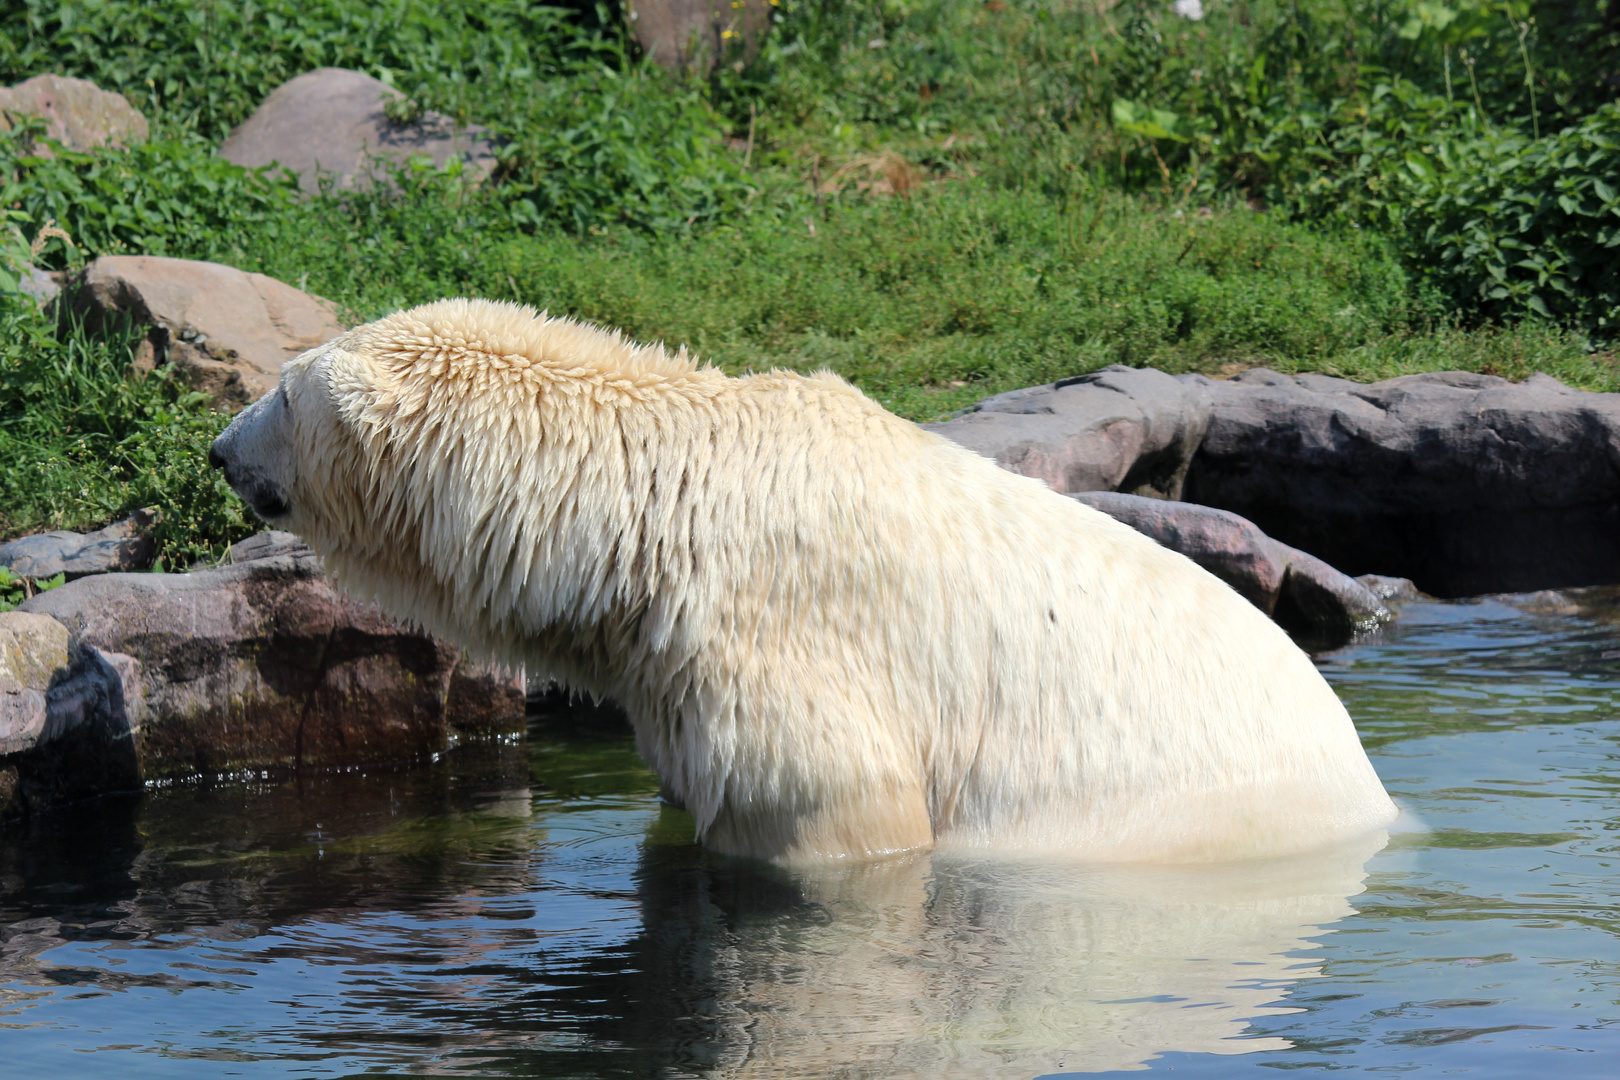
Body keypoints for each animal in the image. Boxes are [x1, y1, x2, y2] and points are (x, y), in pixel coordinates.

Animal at [208, 299, 1399, 867]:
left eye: (281, 391)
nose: (219, 453)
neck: (653, 514)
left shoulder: (779, 652)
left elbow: (831, 806)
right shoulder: (664, 670)